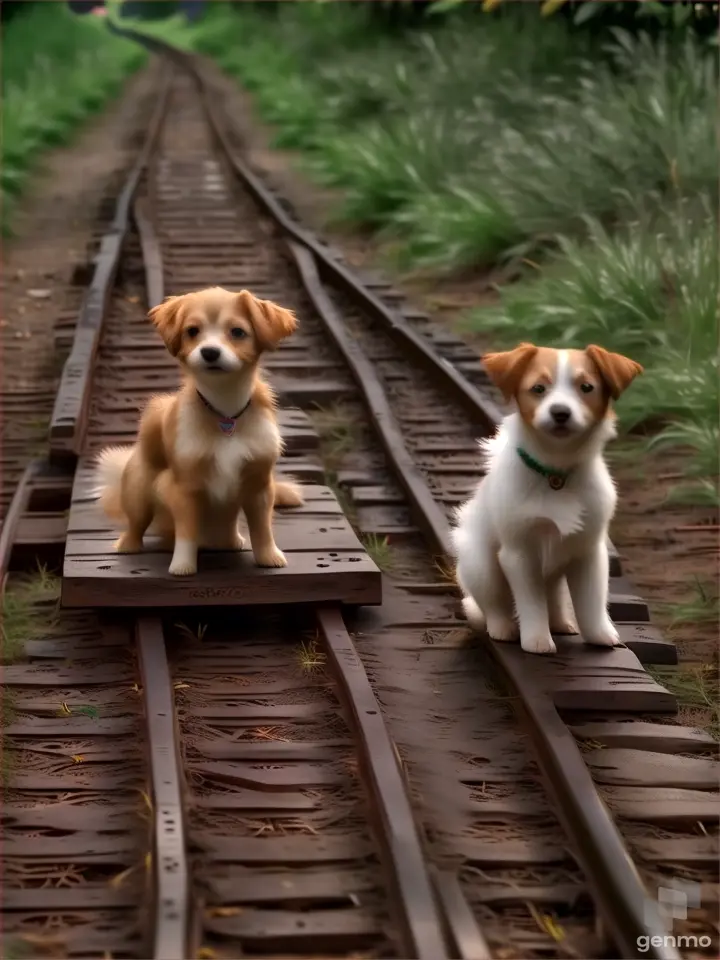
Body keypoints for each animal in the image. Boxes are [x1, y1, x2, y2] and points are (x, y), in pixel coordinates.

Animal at [93, 282, 304, 572]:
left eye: (237, 332)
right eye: (192, 331)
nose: (210, 352)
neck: (225, 410)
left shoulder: (259, 485)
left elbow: (262, 529)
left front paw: (269, 557)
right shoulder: (185, 489)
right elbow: (187, 532)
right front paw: (182, 567)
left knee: (228, 524)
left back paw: (230, 542)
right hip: (138, 491)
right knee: (136, 522)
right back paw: (127, 546)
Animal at [452, 342, 644, 656]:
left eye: (586, 387)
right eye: (538, 388)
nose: (560, 412)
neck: (555, 473)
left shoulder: (588, 550)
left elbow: (591, 602)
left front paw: (601, 636)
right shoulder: (519, 552)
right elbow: (531, 603)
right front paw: (537, 640)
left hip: (555, 573)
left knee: (553, 596)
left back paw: (562, 623)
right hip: (480, 564)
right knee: (493, 603)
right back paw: (503, 628)